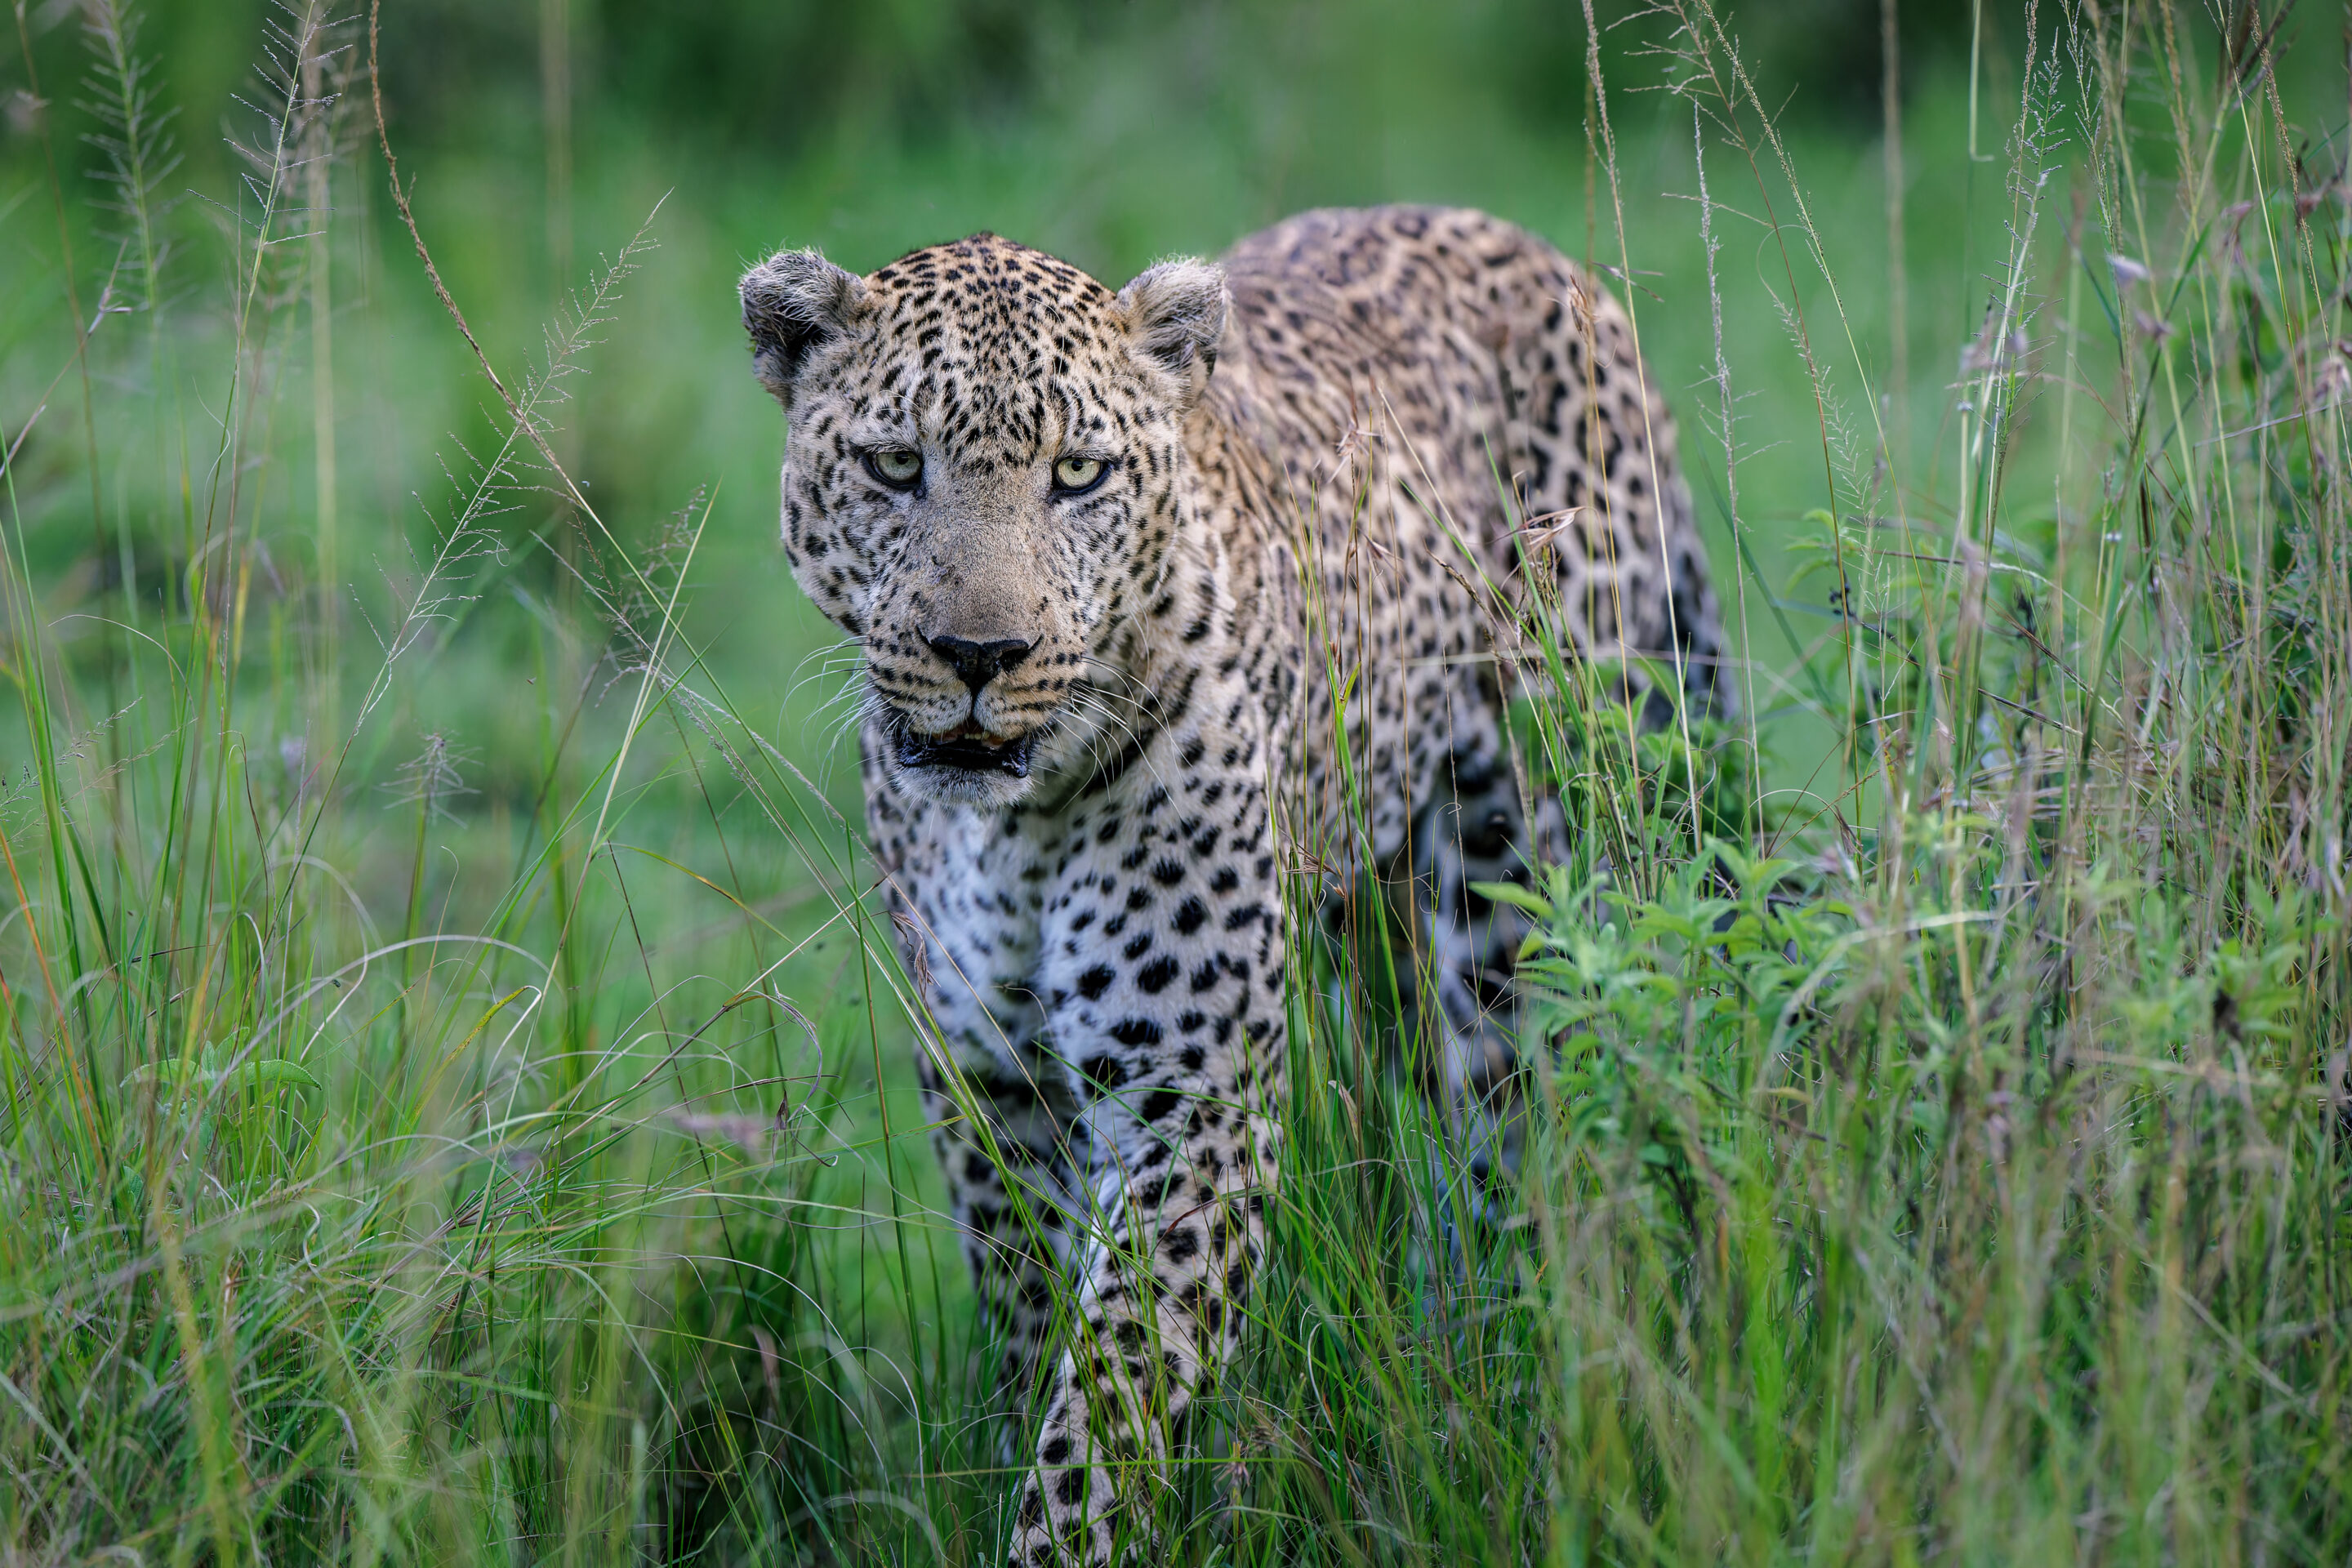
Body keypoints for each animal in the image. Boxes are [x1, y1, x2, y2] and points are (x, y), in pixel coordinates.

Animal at [738, 202, 1731, 1561]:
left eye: (1079, 475)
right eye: (896, 467)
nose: (982, 654)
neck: (1013, 825)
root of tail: (1541, 252)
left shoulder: (1190, 1102)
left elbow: (1106, 1409)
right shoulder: (989, 1087)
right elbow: (1033, 1333)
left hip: (1527, 882)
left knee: (1521, 1147)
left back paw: (1497, 1377)